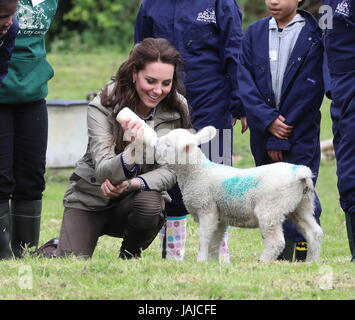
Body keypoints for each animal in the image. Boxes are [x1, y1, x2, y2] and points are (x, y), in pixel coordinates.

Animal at [154, 126, 324, 262]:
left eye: (168, 144)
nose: (155, 144)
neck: (197, 172)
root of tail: (300, 172)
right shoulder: (220, 216)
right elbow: (215, 242)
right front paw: (213, 263)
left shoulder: (207, 209)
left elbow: (204, 237)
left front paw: (201, 261)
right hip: (302, 205)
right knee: (313, 232)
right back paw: (311, 261)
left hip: (270, 209)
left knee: (276, 241)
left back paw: (263, 261)